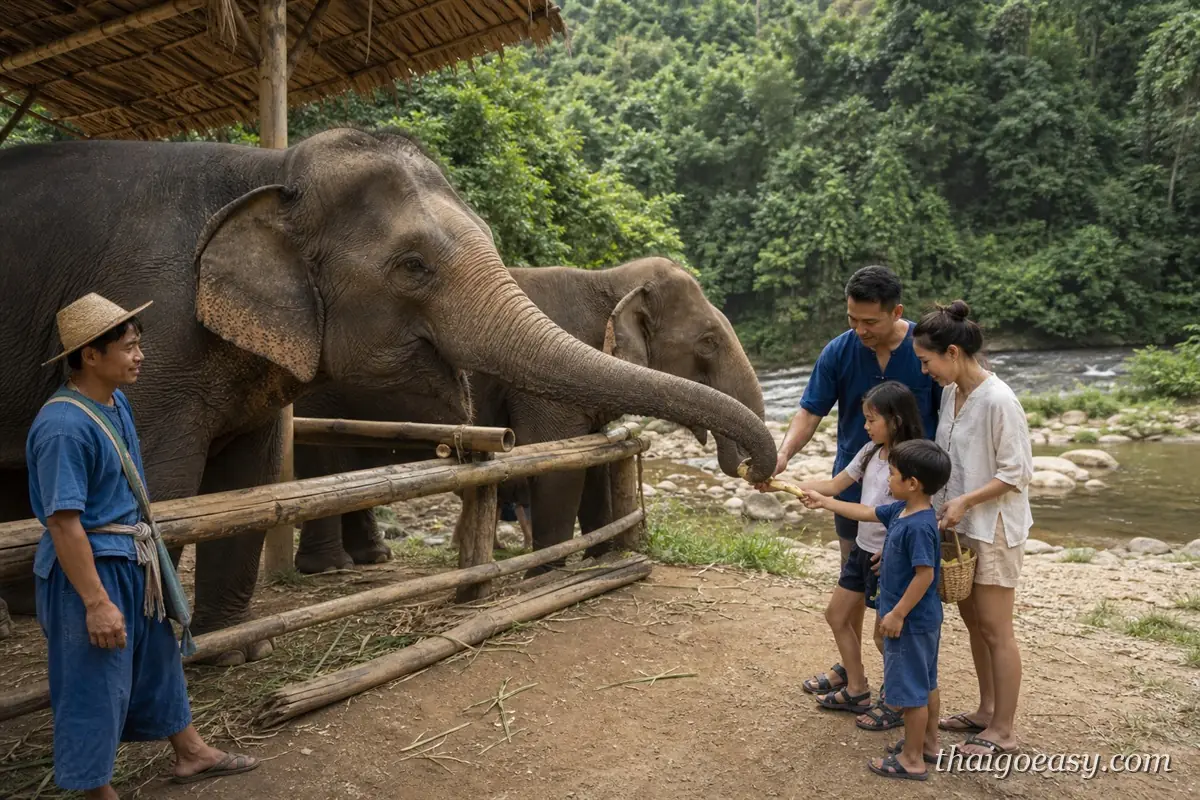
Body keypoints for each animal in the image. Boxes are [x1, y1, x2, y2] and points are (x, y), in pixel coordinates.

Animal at [292, 257, 765, 573]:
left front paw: (604, 556)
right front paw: (548, 571)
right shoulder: (542, 390)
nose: (749, 467)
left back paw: (372, 558)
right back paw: (330, 568)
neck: (606, 278)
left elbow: (592, 460)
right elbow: (557, 464)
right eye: (708, 342)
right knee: (323, 463)